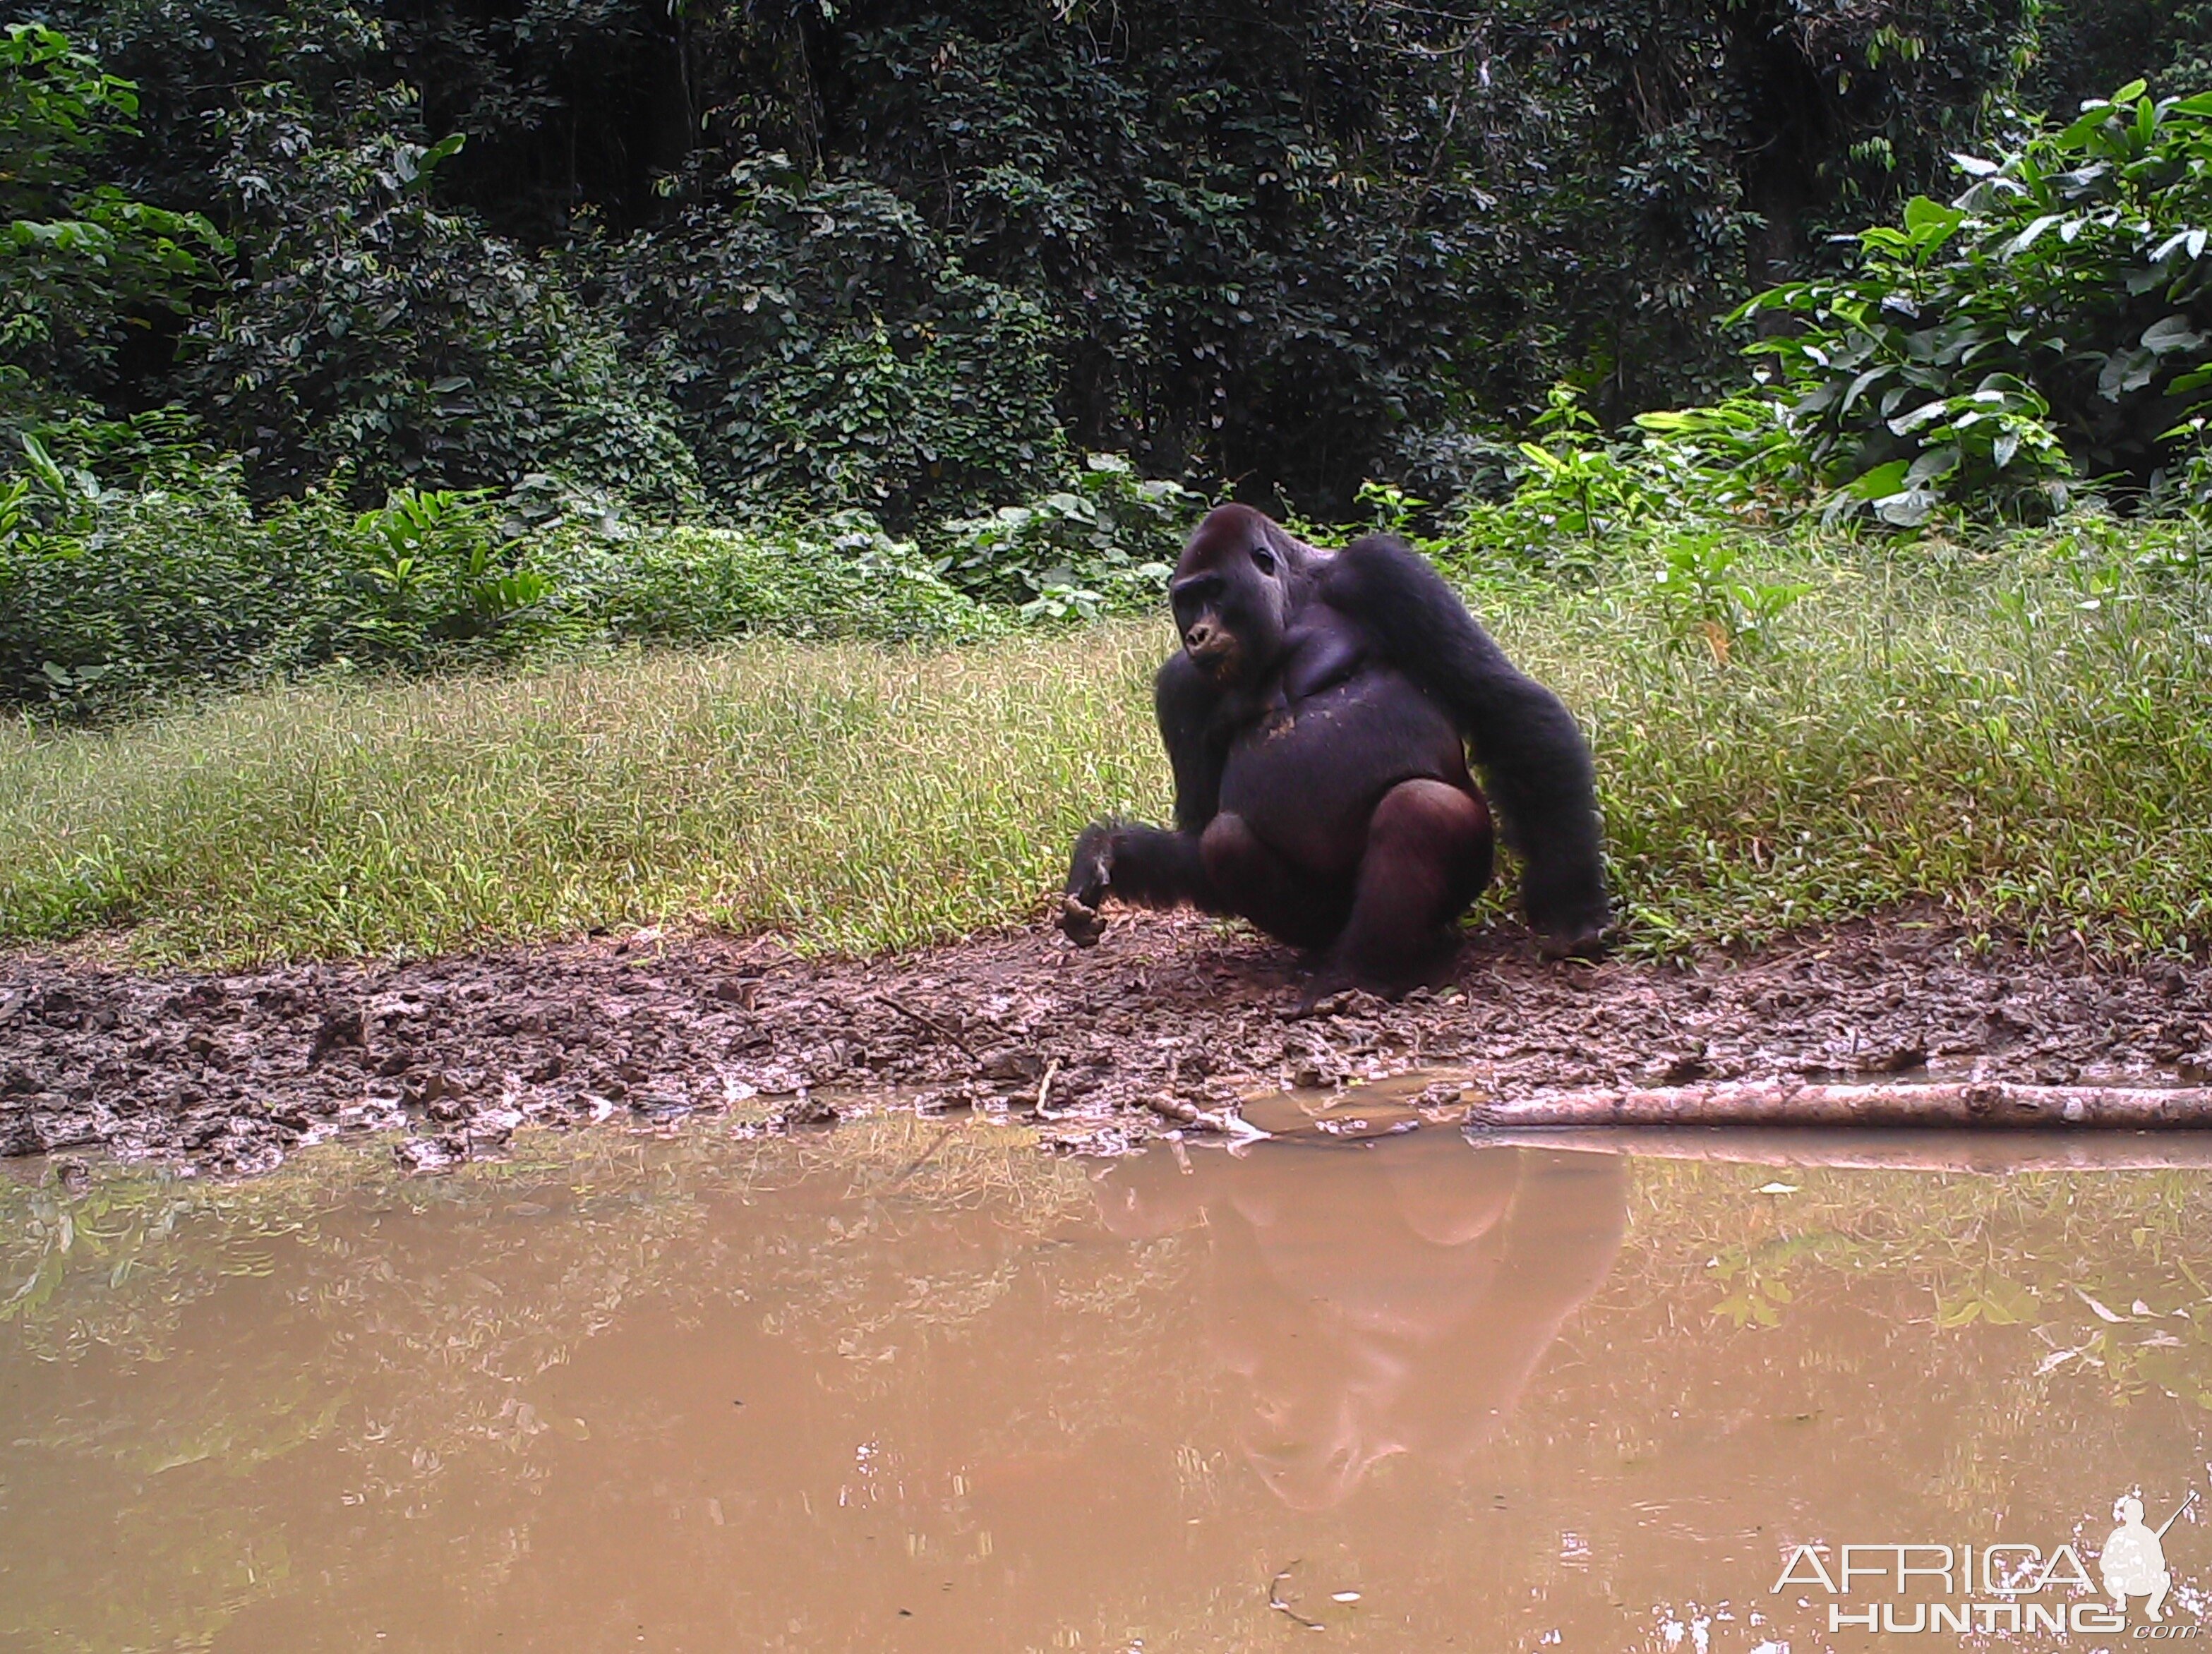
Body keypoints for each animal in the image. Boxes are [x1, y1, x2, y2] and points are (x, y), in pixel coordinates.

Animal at [1057, 504, 1601, 995]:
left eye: (1214, 591)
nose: (1196, 634)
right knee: (1226, 841)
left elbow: (1503, 705)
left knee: (1420, 808)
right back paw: (1335, 957)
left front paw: (1574, 908)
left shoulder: (1384, 571)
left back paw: (1367, 969)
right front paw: (1108, 852)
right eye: (1187, 600)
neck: (1294, 603)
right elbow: (1199, 832)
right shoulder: (1179, 685)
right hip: (1328, 921)